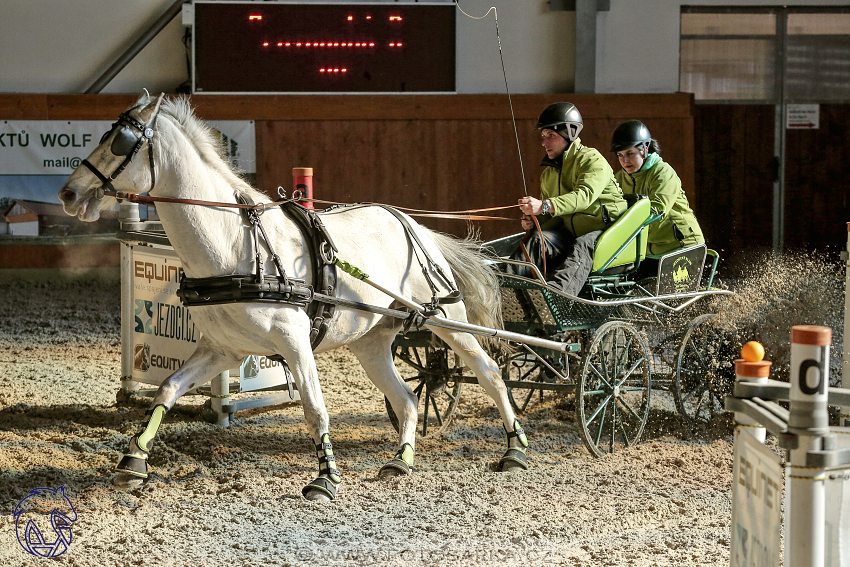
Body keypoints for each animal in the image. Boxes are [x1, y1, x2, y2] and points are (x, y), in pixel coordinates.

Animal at [56, 94, 528, 502]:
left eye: (120, 142)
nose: (68, 194)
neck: (236, 247)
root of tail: (411, 223)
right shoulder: (223, 350)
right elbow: (167, 389)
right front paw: (132, 462)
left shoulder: (295, 343)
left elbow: (315, 409)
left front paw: (325, 479)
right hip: (372, 343)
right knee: (408, 399)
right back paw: (400, 461)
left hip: (447, 319)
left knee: (490, 374)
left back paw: (515, 450)